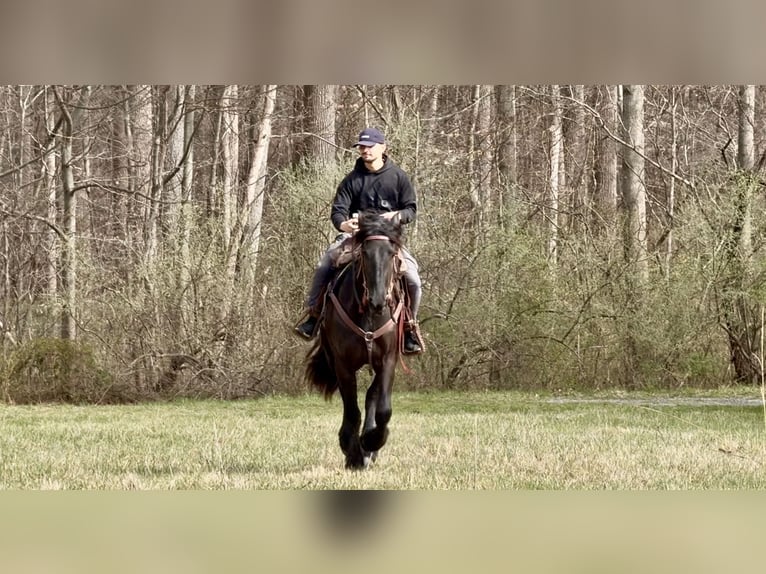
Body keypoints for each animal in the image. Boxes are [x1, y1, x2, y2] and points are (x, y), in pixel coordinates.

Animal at [304, 212, 407, 470]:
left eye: (392, 253)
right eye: (364, 253)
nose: (378, 300)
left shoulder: (388, 360)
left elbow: (383, 408)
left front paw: (371, 442)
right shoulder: (343, 364)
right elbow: (352, 409)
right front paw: (352, 453)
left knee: (371, 396)